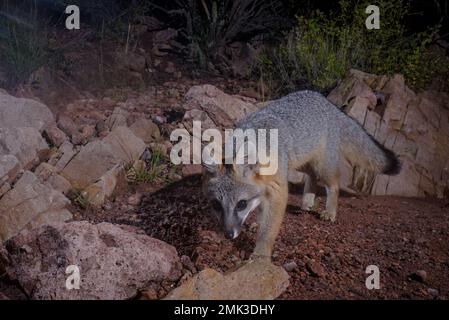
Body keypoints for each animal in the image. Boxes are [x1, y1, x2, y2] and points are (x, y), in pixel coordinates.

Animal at [202, 90, 400, 260]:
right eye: (216, 205)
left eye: (241, 204)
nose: (228, 234)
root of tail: (326, 101)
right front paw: (258, 223)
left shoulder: (278, 190)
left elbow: (268, 229)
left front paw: (261, 255)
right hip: (300, 162)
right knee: (311, 176)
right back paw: (307, 202)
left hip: (322, 167)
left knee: (333, 184)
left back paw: (330, 211)